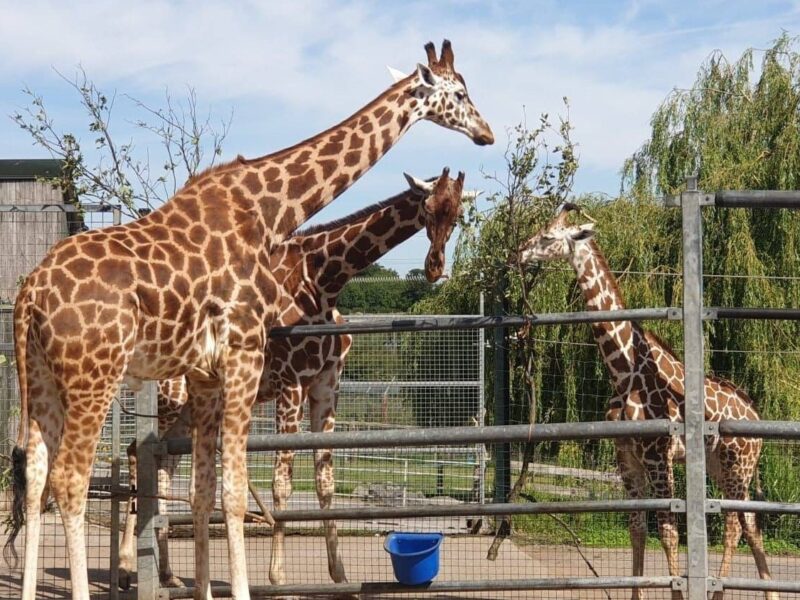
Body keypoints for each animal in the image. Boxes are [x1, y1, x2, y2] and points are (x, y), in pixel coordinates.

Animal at [115, 169, 472, 592]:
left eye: (458, 215)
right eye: (427, 207)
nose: (434, 267)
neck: (325, 281)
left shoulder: (325, 387)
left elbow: (325, 482)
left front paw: (339, 574)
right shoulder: (291, 383)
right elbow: (281, 484)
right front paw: (278, 577)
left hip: (188, 407)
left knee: (164, 468)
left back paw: (169, 575)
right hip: (170, 398)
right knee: (136, 455)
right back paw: (126, 567)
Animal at [520, 204, 776, 596]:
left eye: (548, 236)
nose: (519, 250)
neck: (624, 370)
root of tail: (756, 416)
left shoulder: (658, 455)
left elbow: (668, 531)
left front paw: (678, 589)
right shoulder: (626, 456)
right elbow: (637, 528)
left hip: (738, 464)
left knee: (735, 525)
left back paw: (718, 589)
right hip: (722, 465)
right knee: (750, 522)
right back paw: (769, 590)